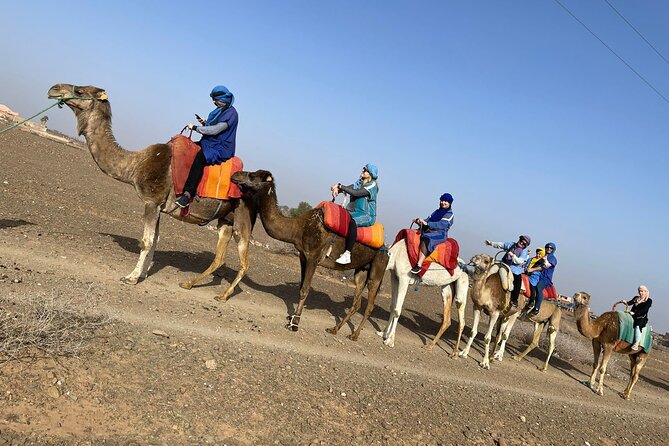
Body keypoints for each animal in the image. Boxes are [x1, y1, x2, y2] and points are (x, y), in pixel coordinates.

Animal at [47, 83, 255, 301]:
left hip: (243, 216)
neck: (135, 165)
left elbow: (146, 242)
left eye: (80, 91)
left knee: (244, 262)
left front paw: (131, 277)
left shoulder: (151, 201)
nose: (54, 88)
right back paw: (189, 284)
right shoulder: (159, 206)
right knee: (220, 257)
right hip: (226, 219)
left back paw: (223, 295)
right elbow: (154, 241)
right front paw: (144, 273)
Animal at [230, 169, 389, 338]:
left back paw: (354, 336)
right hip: (361, 270)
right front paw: (291, 318)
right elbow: (300, 287)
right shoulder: (303, 257)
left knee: (370, 304)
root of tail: (386, 248)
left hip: (378, 267)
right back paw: (334, 329)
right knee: (357, 302)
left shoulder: (314, 257)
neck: (298, 228)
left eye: (252, 176)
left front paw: (294, 324)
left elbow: (305, 289)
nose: (235, 175)